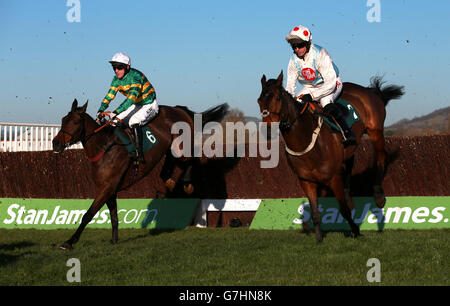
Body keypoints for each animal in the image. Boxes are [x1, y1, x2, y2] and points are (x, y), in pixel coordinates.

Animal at [53, 99, 229, 250]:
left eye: (76, 122)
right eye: (63, 119)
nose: (55, 143)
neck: (104, 148)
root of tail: (179, 109)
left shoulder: (107, 188)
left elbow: (88, 214)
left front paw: (69, 242)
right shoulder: (110, 190)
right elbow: (114, 216)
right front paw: (114, 240)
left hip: (182, 146)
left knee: (193, 157)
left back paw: (187, 184)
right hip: (170, 148)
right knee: (172, 165)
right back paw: (169, 182)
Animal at [256, 71, 404, 241]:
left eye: (276, 98)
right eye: (259, 100)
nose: (267, 130)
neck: (305, 139)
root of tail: (368, 90)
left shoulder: (333, 178)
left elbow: (344, 210)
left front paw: (356, 231)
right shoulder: (306, 181)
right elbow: (315, 213)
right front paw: (319, 238)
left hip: (375, 131)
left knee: (381, 156)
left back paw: (379, 196)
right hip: (350, 147)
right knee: (350, 163)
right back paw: (350, 198)